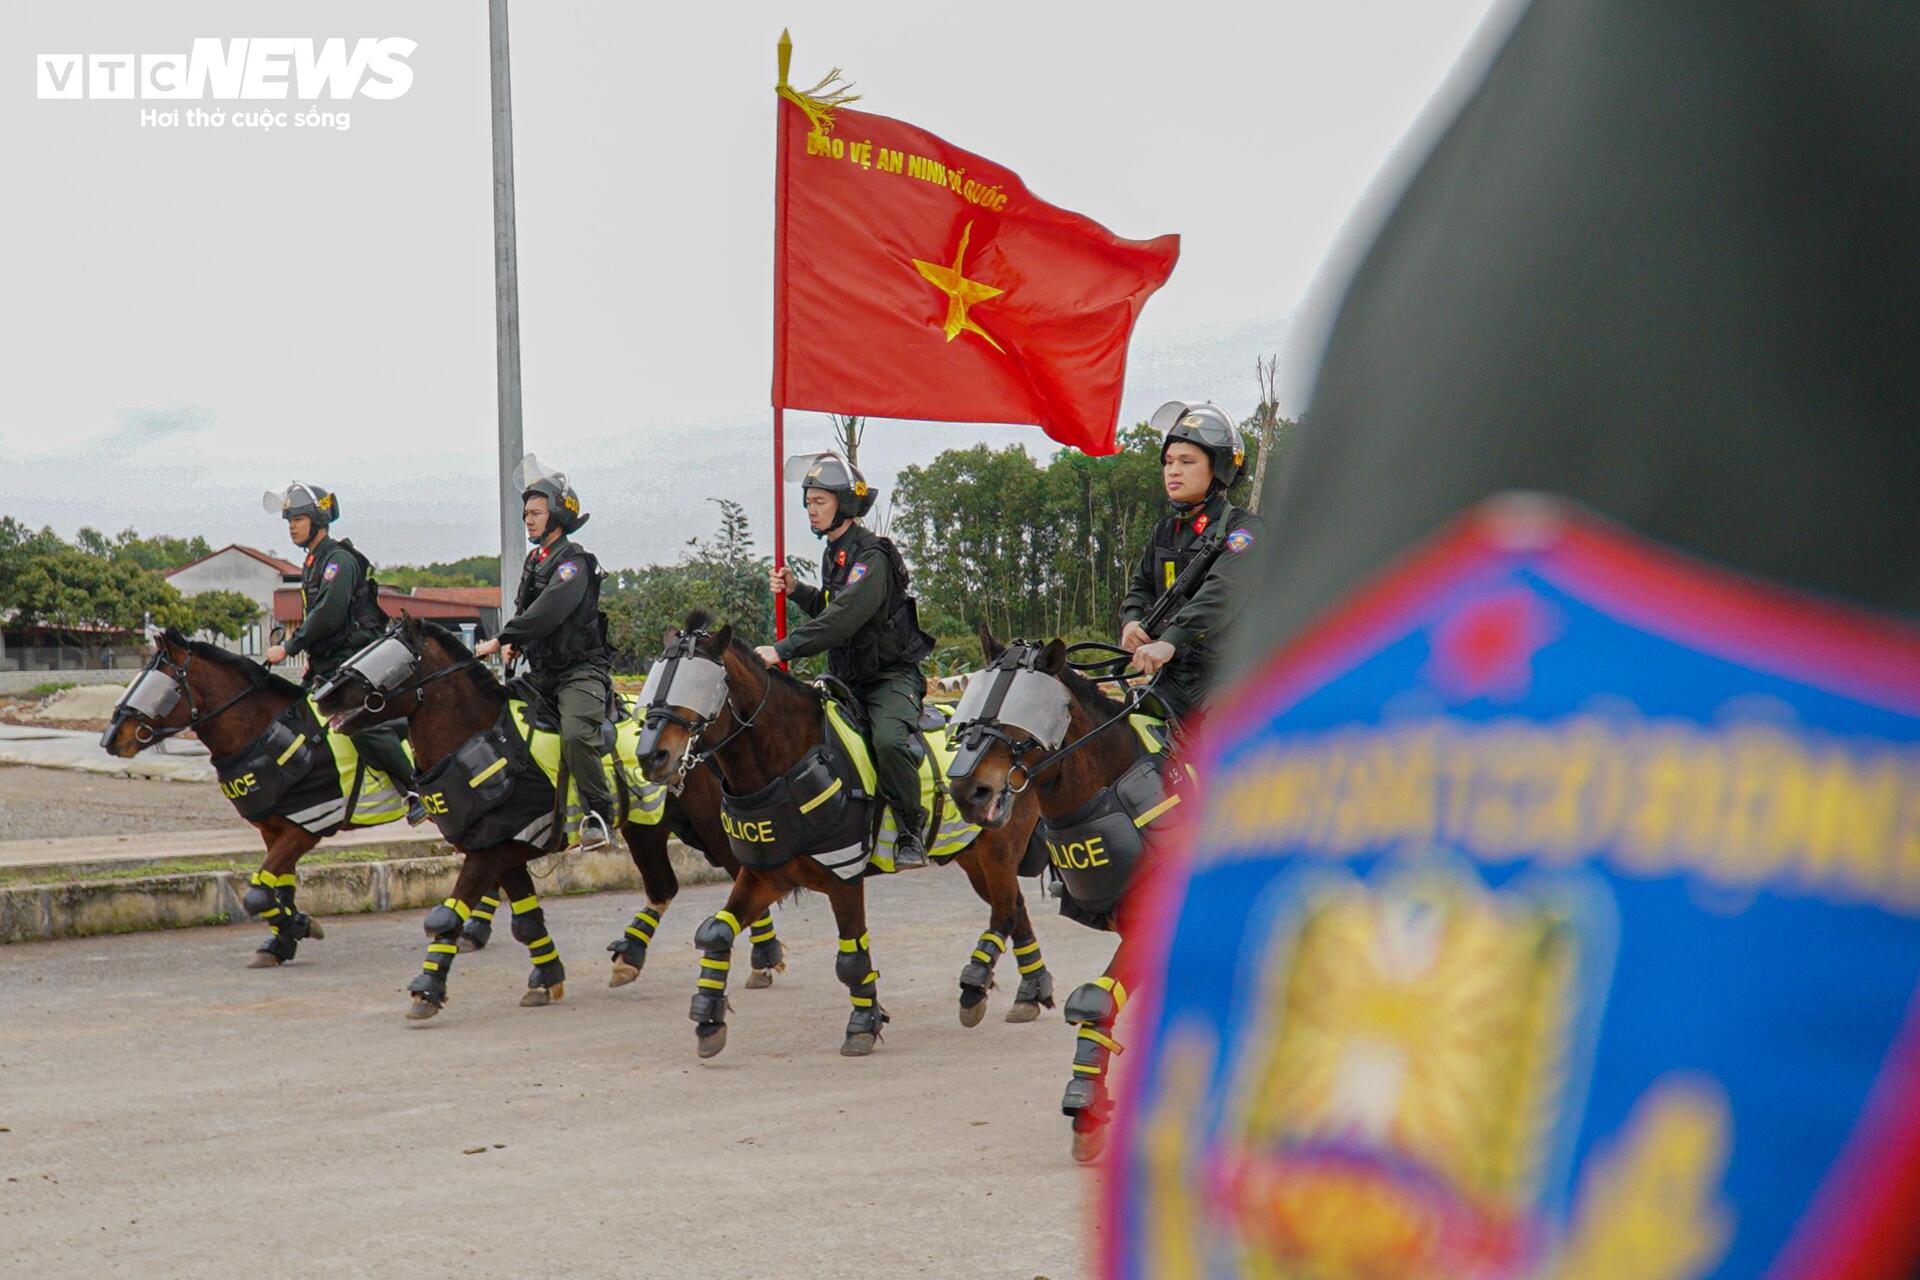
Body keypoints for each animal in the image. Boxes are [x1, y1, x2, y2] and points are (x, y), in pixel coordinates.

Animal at [633, 610, 1052, 1059]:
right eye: (655, 680)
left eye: (700, 684)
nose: (651, 755)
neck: (788, 760)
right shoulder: (766, 874)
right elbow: (715, 931)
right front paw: (709, 1016)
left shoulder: (844, 875)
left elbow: (851, 959)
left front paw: (863, 1023)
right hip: (971, 853)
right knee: (1015, 907)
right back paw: (1030, 991)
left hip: (998, 848)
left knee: (1005, 910)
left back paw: (976, 987)